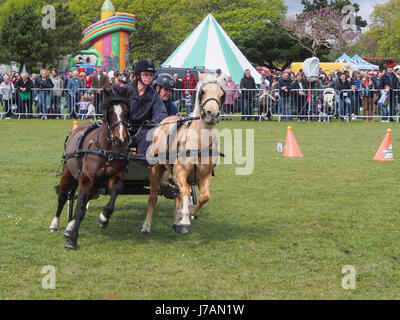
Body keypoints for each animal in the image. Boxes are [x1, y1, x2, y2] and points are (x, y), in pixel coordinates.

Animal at [48, 85, 131, 250]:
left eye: (126, 111)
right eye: (109, 111)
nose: (120, 139)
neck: (105, 150)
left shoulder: (116, 175)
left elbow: (115, 191)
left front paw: (103, 218)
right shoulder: (86, 179)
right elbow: (79, 208)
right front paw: (72, 240)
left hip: (94, 185)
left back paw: (71, 225)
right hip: (69, 174)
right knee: (63, 196)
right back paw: (55, 224)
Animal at [141, 73, 225, 235]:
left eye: (222, 94)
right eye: (202, 92)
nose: (212, 114)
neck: (198, 144)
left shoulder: (204, 175)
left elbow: (204, 197)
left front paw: (189, 212)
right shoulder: (180, 172)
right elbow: (185, 191)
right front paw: (185, 220)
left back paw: (176, 221)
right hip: (156, 170)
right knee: (153, 198)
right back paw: (146, 226)